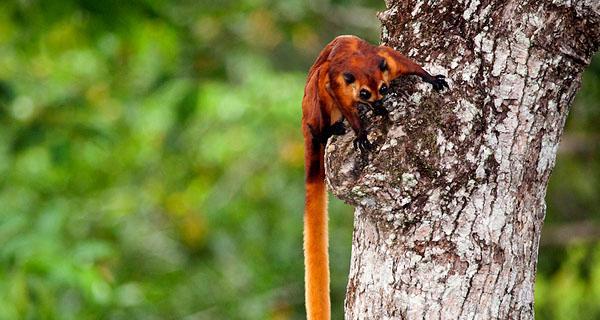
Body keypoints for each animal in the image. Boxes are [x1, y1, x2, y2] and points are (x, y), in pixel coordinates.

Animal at [302, 35, 448, 320]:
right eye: (364, 93)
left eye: (383, 87)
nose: (379, 102)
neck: (360, 62)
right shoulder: (338, 84)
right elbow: (333, 90)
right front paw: (360, 131)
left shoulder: (387, 61)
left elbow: (404, 62)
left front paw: (430, 78)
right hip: (311, 108)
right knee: (318, 87)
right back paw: (325, 131)